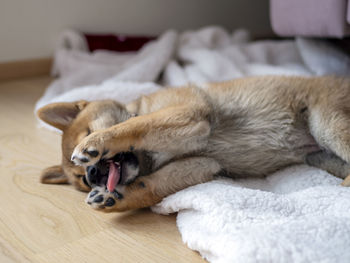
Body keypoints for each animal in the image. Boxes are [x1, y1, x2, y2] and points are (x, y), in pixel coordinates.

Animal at [36, 76, 350, 212]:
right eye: (83, 182)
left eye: (88, 130)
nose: (91, 174)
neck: (152, 155)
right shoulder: (203, 164)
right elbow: (151, 187)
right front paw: (116, 198)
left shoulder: (188, 114)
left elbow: (136, 125)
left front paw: (98, 141)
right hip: (320, 155)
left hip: (327, 124)